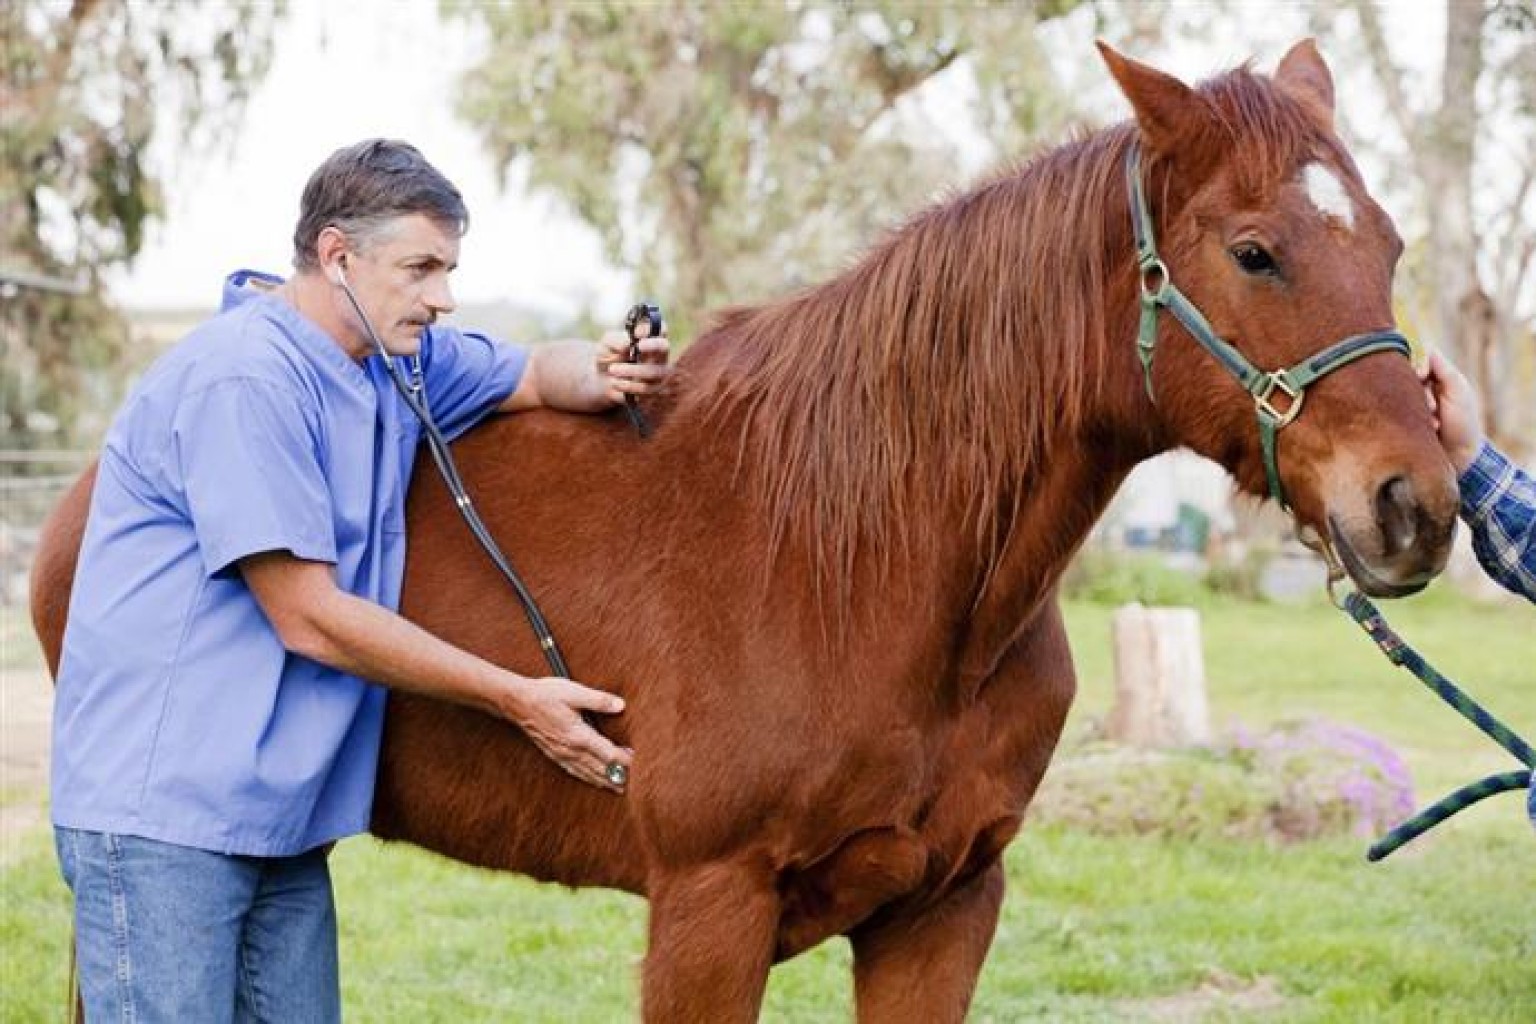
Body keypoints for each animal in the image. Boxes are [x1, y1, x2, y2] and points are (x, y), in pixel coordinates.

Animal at [31, 40, 1459, 1022]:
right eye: (1256, 251)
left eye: (1391, 243)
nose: (1417, 505)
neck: (858, 562)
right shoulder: (708, 912)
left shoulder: (943, 910)